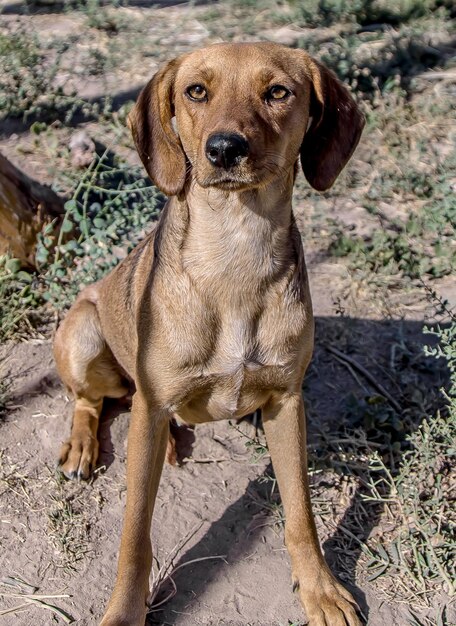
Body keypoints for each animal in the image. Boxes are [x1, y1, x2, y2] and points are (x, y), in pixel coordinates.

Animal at [54, 41, 366, 620]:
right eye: (196, 90)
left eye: (278, 92)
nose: (224, 149)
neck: (234, 252)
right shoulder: (151, 409)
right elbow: (135, 534)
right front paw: (125, 611)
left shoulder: (288, 403)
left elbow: (300, 513)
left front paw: (321, 589)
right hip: (84, 331)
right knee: (94, 401)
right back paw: (84, 445)